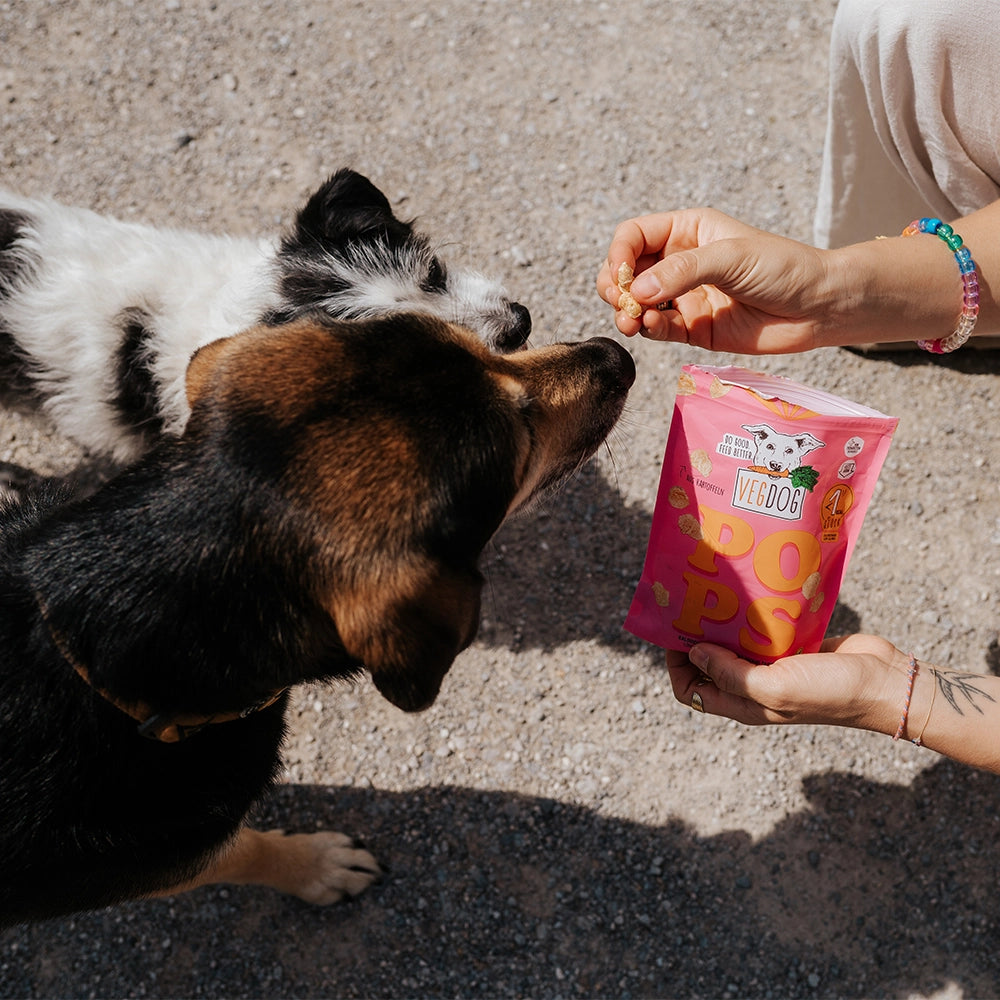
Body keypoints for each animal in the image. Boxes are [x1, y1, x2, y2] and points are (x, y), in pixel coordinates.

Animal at [0, 314, 632, 928]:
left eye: (487, 350)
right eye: (523, 438)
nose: (618, 357)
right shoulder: (153, 860)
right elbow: (242, 849)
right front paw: (320, 867)